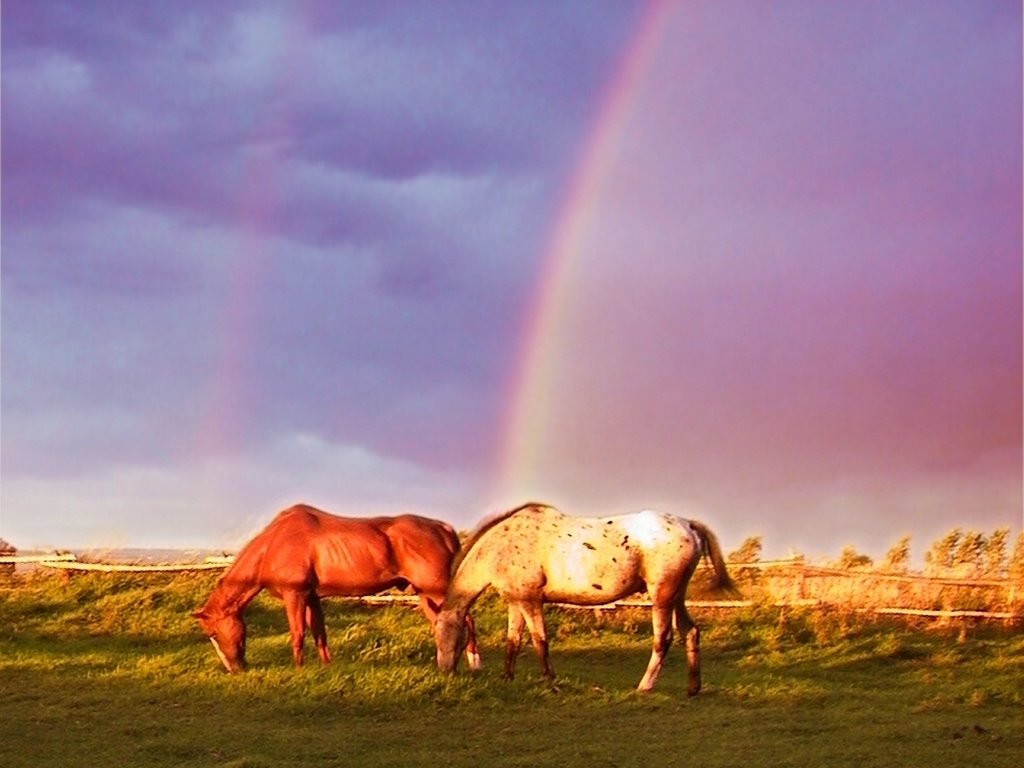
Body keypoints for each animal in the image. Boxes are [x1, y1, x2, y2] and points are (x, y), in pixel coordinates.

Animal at [194, 505, 479, 671]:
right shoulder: (311, 597)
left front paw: (299, 669)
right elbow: (319, 632)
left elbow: (298, 633)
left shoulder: (295, 595)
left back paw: (473, 663)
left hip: (438, 590)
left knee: (466, 620)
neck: (274, 543)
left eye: (213, 633)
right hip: (424, 594)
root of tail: (443, 529)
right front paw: (325, 666)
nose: (235, 669)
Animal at [434, 505, 737, 696]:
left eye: (443, 636)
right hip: (676, 596)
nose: (445, 672)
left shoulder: (531, 602)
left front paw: (550, 682)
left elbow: (539, 641)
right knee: (691, 632)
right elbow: (513, 642)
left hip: (662, 596)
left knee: (663, 639)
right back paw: (692, 689)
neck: (502, 545)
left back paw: (645, 686)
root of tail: (687, 524)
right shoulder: (516, 602)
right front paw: (507, 678)